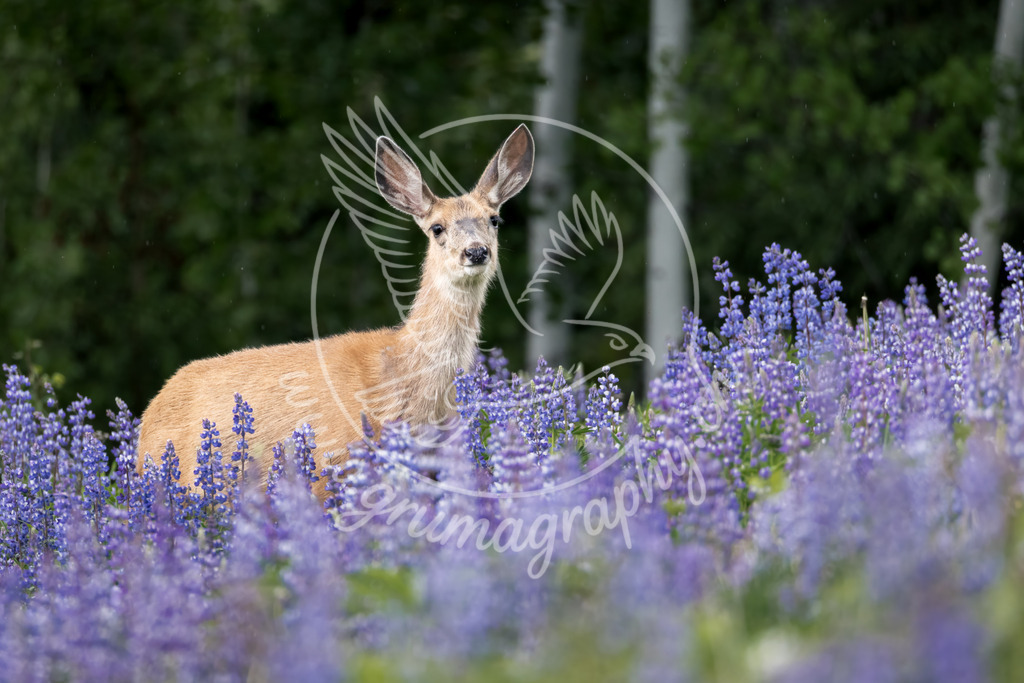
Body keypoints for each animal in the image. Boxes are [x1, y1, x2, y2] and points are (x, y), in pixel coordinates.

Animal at [136, 124, 535, 501]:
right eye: (437, 227)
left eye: (494, 219)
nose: (476, 251)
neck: (402, 375)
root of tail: (146, 419)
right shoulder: (330, 467)